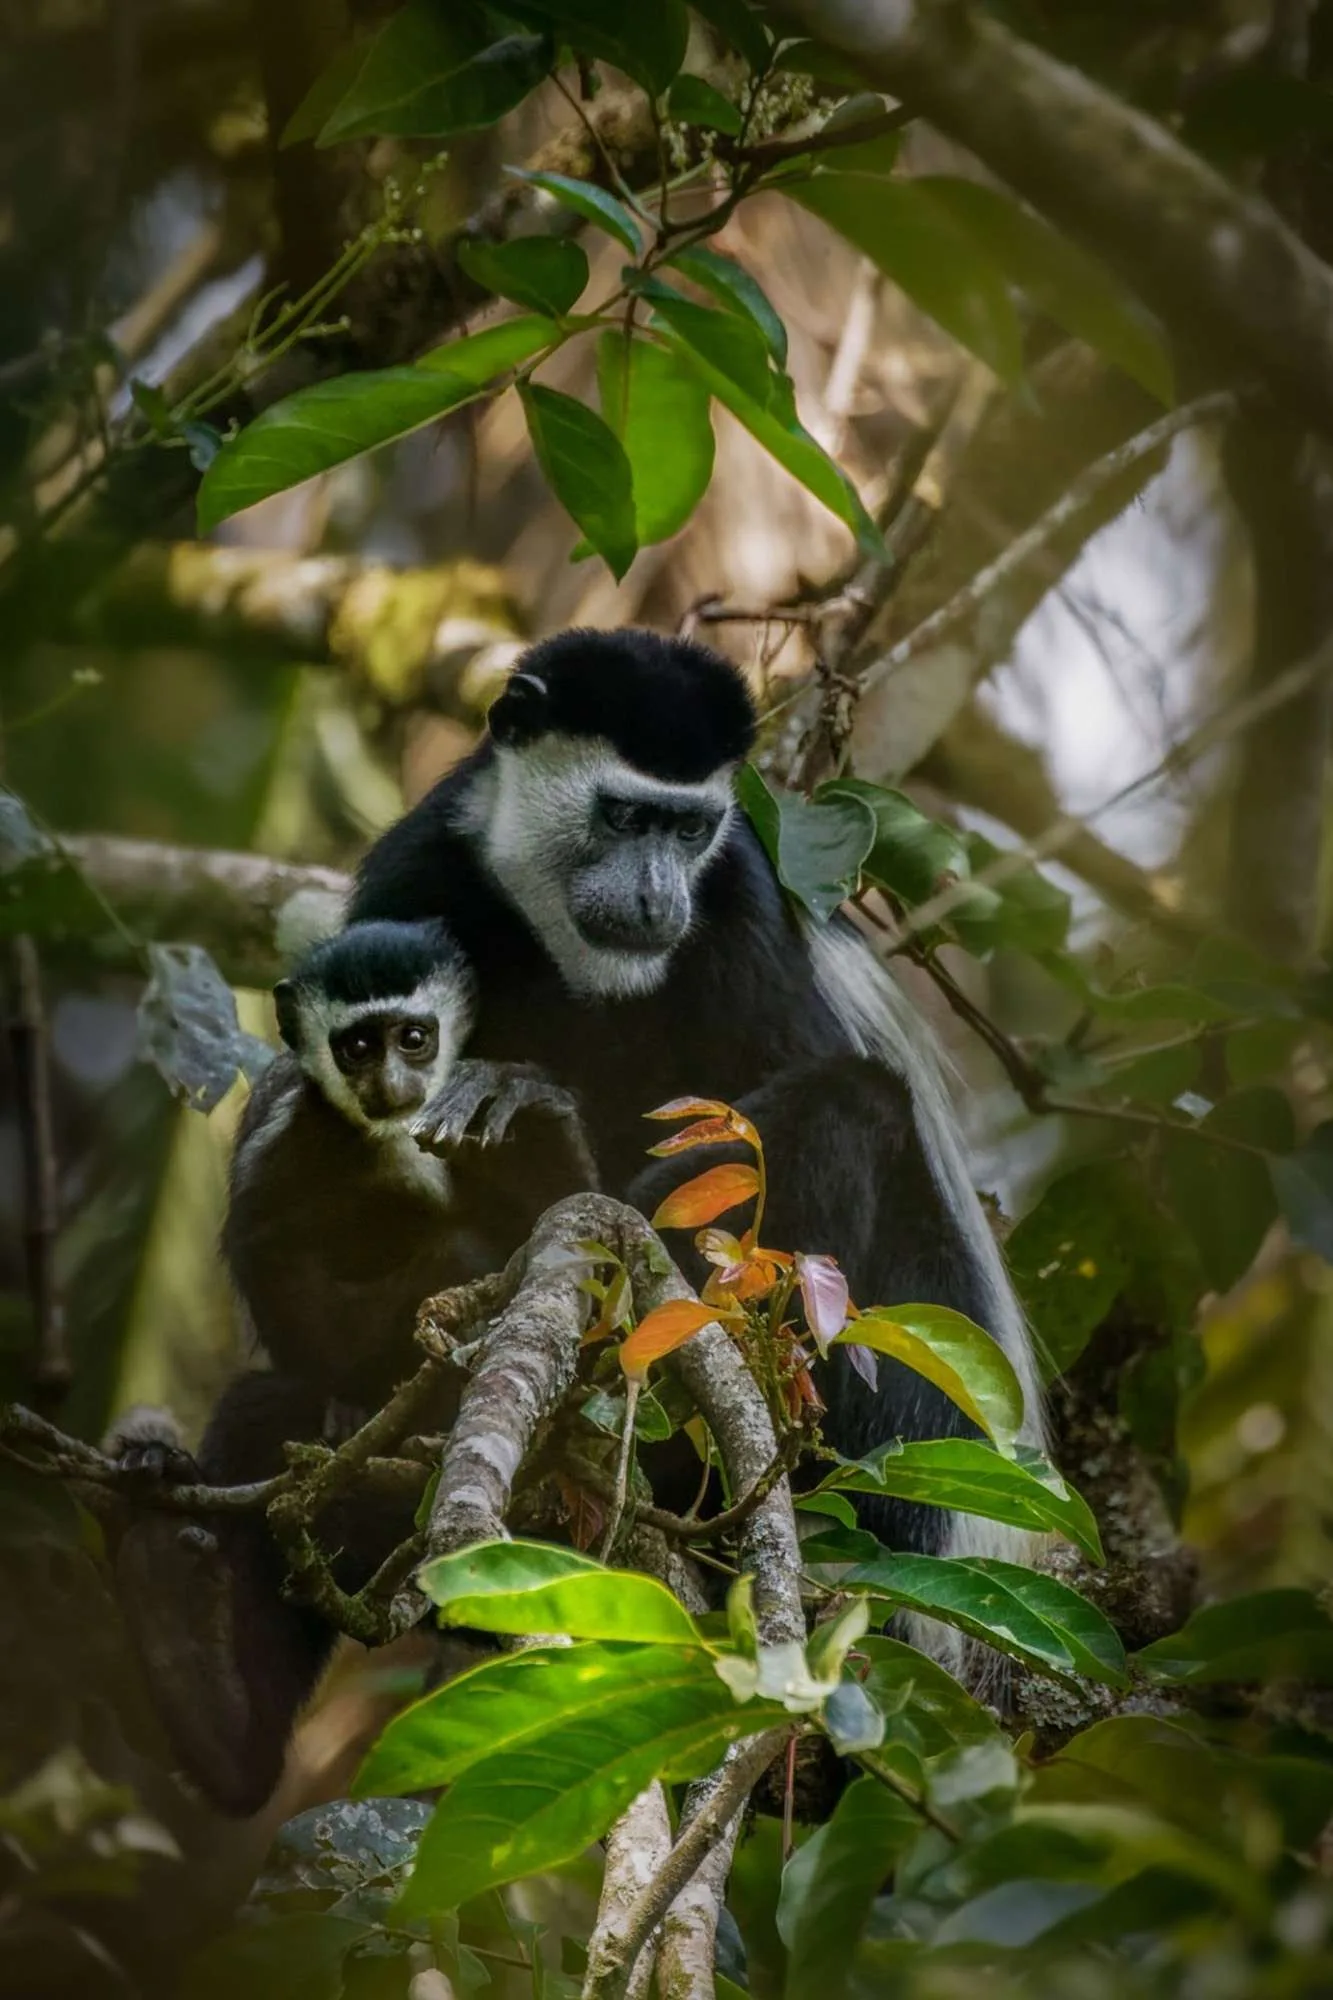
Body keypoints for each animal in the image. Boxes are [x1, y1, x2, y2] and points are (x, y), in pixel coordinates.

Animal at [111, 918, 597, 1814]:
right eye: (358, 1045)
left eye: (414, 1037)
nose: (393, 1084)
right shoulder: (291, 1125)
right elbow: (269, 1252)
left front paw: (519, 1098)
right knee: (267, 1409)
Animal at [347, 629, 1046, 1625]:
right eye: (622, 818)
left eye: (686, 831)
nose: (655, 899)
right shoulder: (412, 878)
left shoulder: (741, 904)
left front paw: (540, 1133)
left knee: (857, 1104)